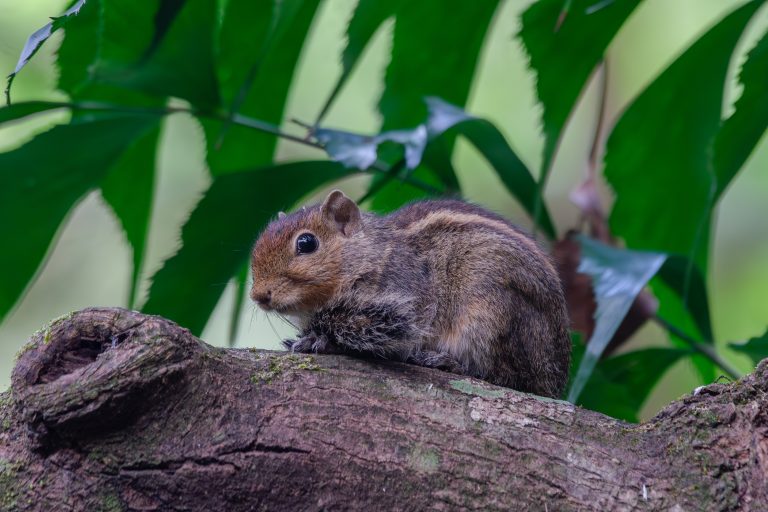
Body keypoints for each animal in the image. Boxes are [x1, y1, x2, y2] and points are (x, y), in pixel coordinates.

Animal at [250, 190, 571, 398]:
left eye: (306, 243)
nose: (257, 295)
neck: (371, 255)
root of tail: (555, 375)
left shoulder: (400, 307)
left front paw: (321, 340)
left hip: (491, 317)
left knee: (504, 376)